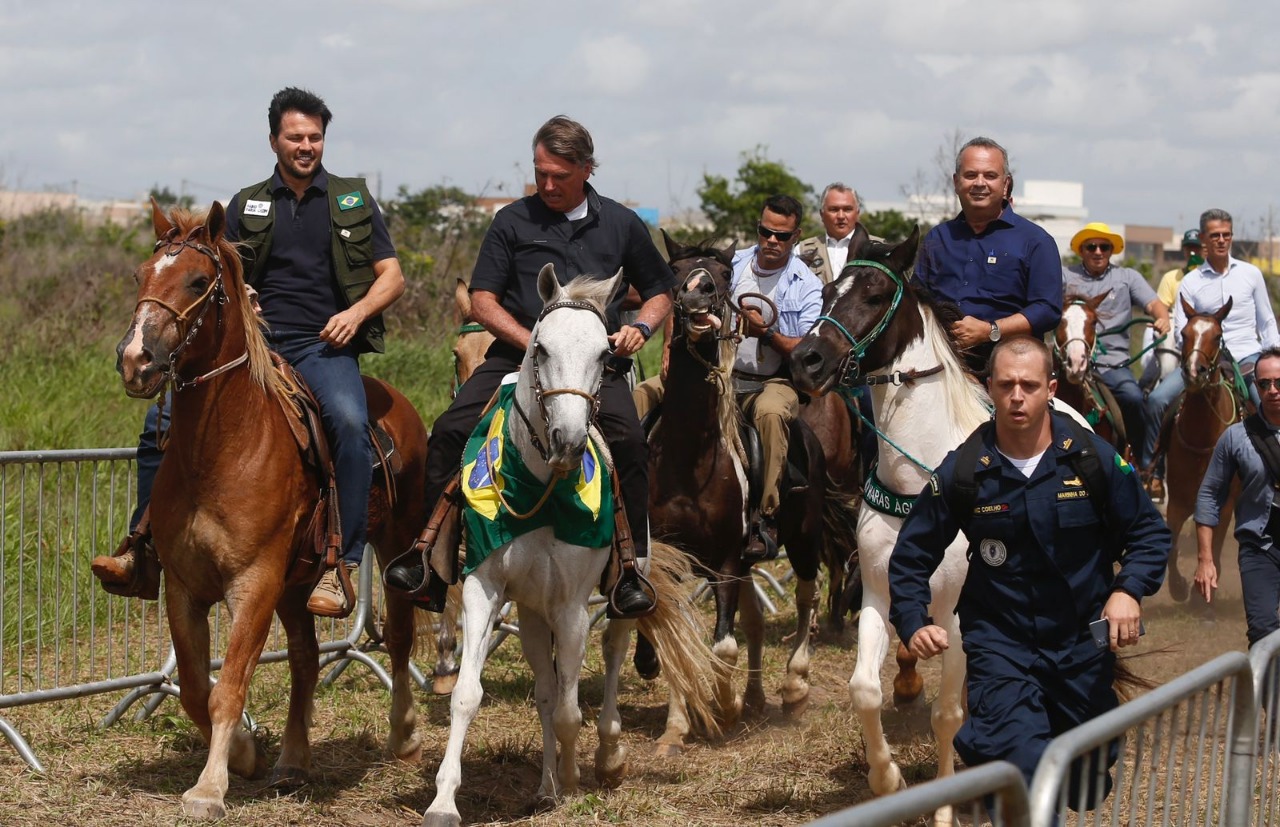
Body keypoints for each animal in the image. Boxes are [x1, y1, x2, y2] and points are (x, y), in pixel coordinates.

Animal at [114, 202, 427, 824]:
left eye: (196, 281)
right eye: (140, 275)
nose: (137, 360)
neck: (221, 448)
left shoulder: (253, 582)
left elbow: (230, 683)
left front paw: (208, 788)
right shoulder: (185, 587)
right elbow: (196, 687)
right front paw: (243, 754)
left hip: (394, 549)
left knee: (401, 637)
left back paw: (402, 734)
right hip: (296, 583)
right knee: (305, 659)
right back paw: (292, 761)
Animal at [424, 266, 716, 827]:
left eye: (605, 354)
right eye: (539, 348)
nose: (568, 439)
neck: (543, 490)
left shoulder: (573, 607)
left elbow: (568, 710)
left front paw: (577, 778)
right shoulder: (484, 590)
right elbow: (471, 696)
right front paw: (444, 801)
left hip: (620, 589)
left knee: (610, 658)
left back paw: (606, 759)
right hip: (533, 612)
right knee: (544, 689)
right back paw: (545, 785)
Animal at [788, 227, 988, 827]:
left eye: (876, 295)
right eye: (827, 291)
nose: (806, 360)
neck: (920, 481)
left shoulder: (958, 613)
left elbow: (946, 715)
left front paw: (944, 807)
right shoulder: (878, 591)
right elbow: (864, 691)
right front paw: (889, 780)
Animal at [1162, 297, 1239, 601]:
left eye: (1217, 336)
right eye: (1184, 334)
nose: (1195, 372)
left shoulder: (1224, 504)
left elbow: (1214, 548)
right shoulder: (1177, 500)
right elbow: (1171, 544)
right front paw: (1178, 587)